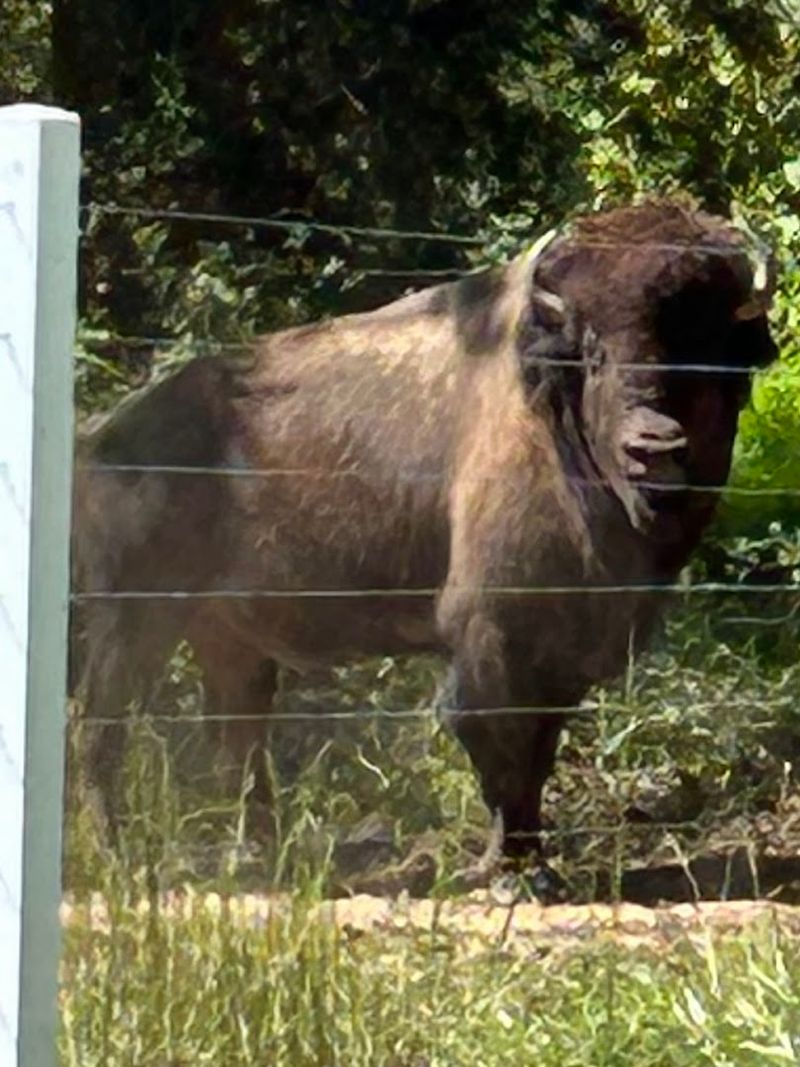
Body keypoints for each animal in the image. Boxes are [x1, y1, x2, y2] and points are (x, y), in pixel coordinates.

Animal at [70, 200, 776, 876]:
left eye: (711, 349)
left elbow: (537, 750)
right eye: (592, 351)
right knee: (102, 729)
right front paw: (507, 868)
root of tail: (106, 436)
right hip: (134, 622)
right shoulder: (493, 635)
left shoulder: (562, 652)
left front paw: (532, 860)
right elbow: (496, 740)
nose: (653, 447)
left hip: (227, 640)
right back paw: (119, 857)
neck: (552, 410)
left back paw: (263, 856)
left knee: (236, 738)